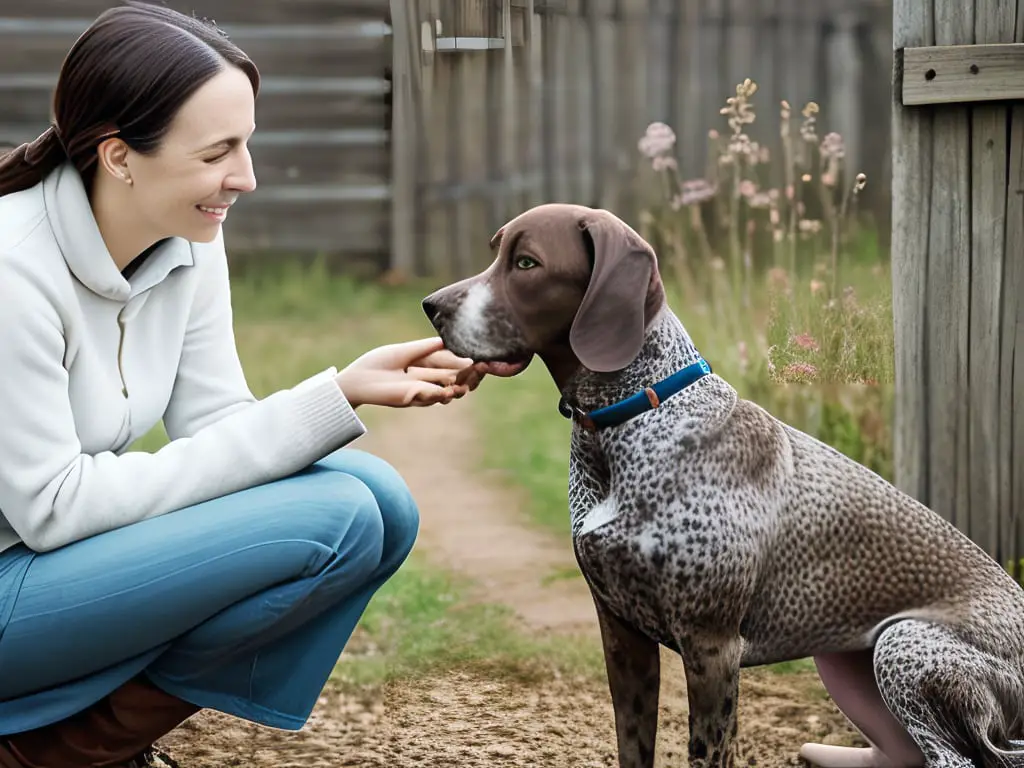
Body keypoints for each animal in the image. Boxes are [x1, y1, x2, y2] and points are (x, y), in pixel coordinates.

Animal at [419, 204, 1024, 768]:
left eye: (526, 263)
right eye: (495, 252)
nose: (431, 306)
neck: (630, 419)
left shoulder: (711, 647)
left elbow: (708, 751)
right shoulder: (622, 636)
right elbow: (632, 743)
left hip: (904, 646)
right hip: (847, 661)